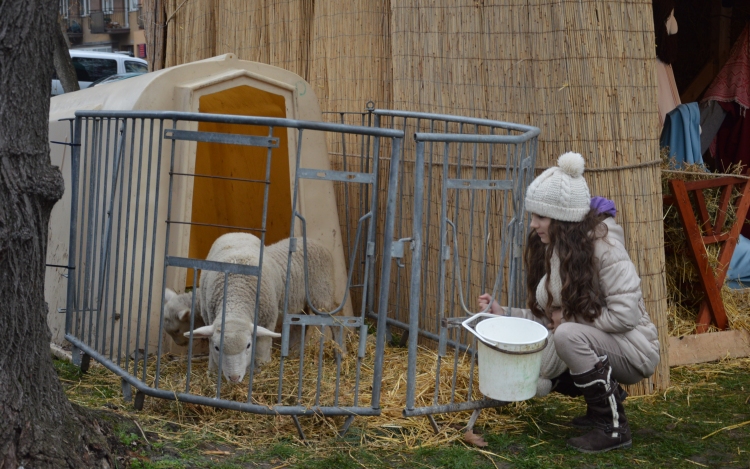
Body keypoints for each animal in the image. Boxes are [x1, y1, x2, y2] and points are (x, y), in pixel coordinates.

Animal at [189, 232, 336, 382]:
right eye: (217, 347)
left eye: (248, 345)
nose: (234, 377)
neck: (236, 294)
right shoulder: (209, 317)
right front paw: (212, 371)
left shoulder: (268, 319)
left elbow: (261, 347)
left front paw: (261, 370)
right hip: (299, 305)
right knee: (299, 326)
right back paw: (294, 353)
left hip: (322, 296)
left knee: (334, 320)